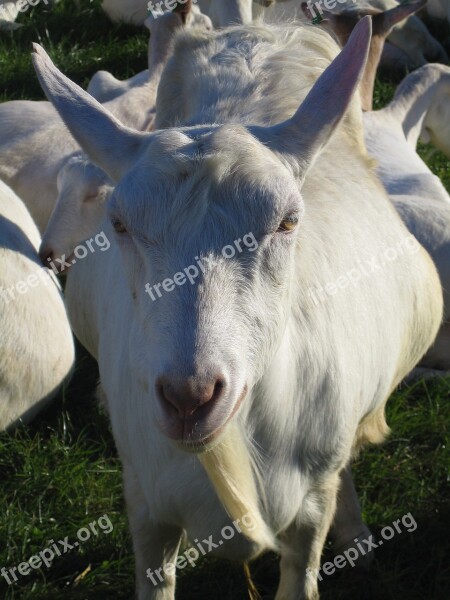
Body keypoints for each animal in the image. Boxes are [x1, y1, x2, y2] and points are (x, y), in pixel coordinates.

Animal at [33, 17, 442, 596]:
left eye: (289, 221)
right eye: (118, 224)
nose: (191, 397)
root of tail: (258, 34)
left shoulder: (307, 506)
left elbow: (304, 567)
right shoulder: (144, 497)